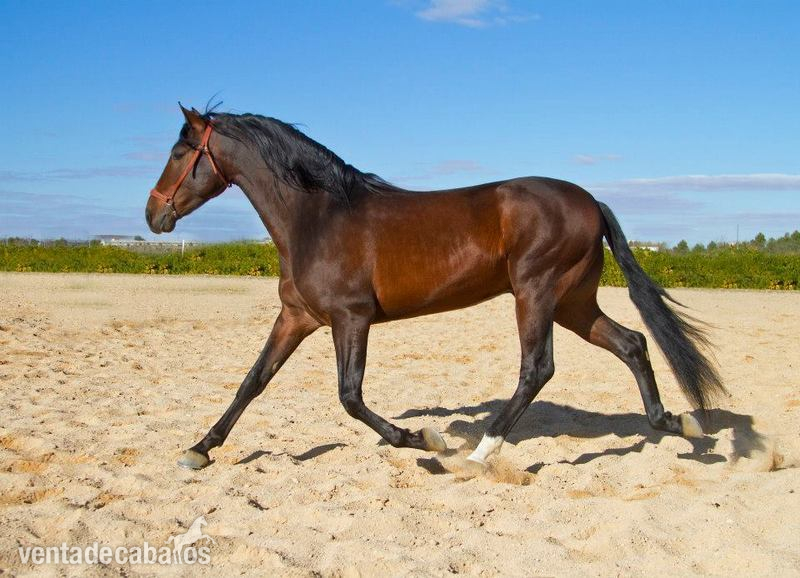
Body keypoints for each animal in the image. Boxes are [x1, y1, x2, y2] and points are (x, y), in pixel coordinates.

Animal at [146, 105, 725, 471]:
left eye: (178, 153)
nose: (154, 215)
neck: (318, 217)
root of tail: (590, 200)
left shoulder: (351, 318)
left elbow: (350, 396)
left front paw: (424, 438)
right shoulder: (297, 318)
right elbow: (252, 382)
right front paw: (199, 449)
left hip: (537, 293)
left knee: (537, 368)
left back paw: (479, 454)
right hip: (574, 303)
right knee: (633, 343)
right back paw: (677, 425)